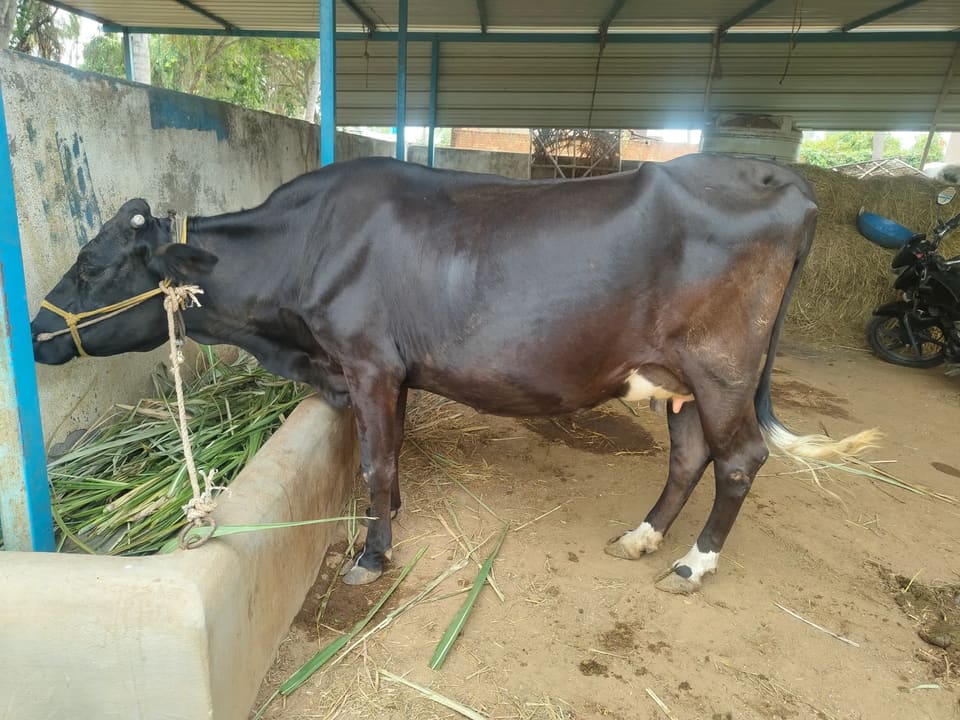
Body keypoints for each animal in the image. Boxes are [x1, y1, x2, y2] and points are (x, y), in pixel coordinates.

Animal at [31, 155, 877, 594]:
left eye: (92, 266)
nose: (35, 331)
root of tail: (779, 178)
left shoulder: (368, 362)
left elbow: (374, 461)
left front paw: (371, 554)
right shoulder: (389, 372)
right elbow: (391, 453)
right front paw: (394, 517)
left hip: (722, 368)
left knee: (740, 459)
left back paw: (693, 564)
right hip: (680, 377)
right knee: (691, 454)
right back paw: (641, 538)